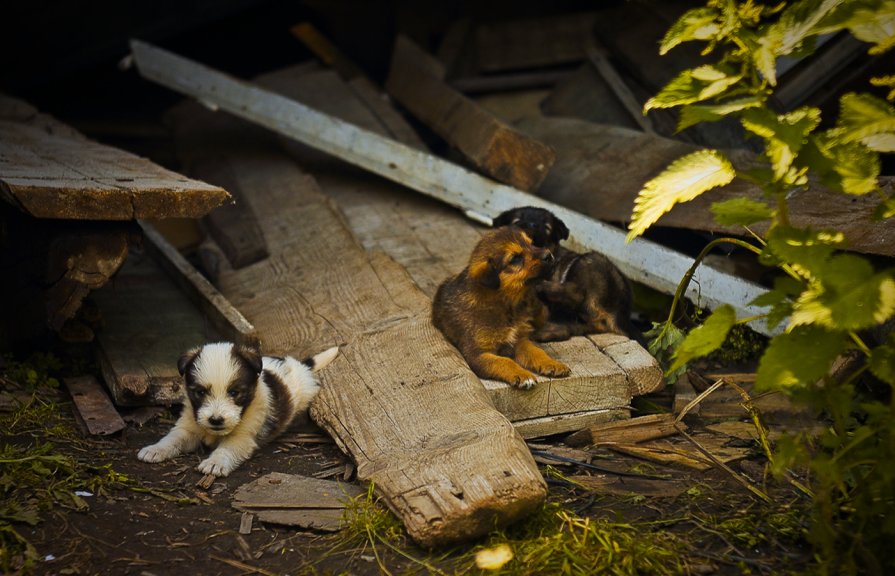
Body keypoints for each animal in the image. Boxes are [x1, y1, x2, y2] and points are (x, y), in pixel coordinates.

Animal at [138, 342, 338, 476]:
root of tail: (300, 365)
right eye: (200, 392)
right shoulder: (188, 427)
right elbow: (172, 438)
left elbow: (226, 449)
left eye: (234, 392)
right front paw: (155, 449)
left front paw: (215, 462)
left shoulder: (242, 437)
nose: (216, 420)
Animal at [432, 227, 572, 390]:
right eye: (515, 258)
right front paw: (522, 375)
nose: (549, 255)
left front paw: (552, 363)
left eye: (531, 243)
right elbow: (503, 361)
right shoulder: (477, 354)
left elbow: (537, 351)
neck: (507, 306)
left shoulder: (519, 340)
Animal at [490, 206, 644, 344]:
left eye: (547, 228)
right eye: (516, 221)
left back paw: (543, 288)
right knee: (570, 326)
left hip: (588, 262)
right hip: (586, 321)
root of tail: (620, 312)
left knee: (578, 293)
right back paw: (545, 331)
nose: (531, 226)